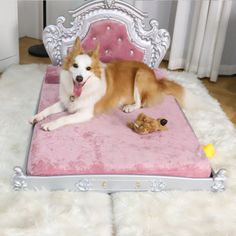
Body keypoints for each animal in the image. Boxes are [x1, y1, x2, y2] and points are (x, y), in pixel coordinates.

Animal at [30, 37, 184, 131]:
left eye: (88, 68)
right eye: (75, 65)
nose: (79, 78)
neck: (83, 90)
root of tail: (156, 78)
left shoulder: (85, 113)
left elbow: (64, 118)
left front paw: (50, 124)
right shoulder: (66, 102)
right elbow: (48, 109)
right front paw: (37, 117)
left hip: (140, 75)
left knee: (140, 103)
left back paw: (129, 107)